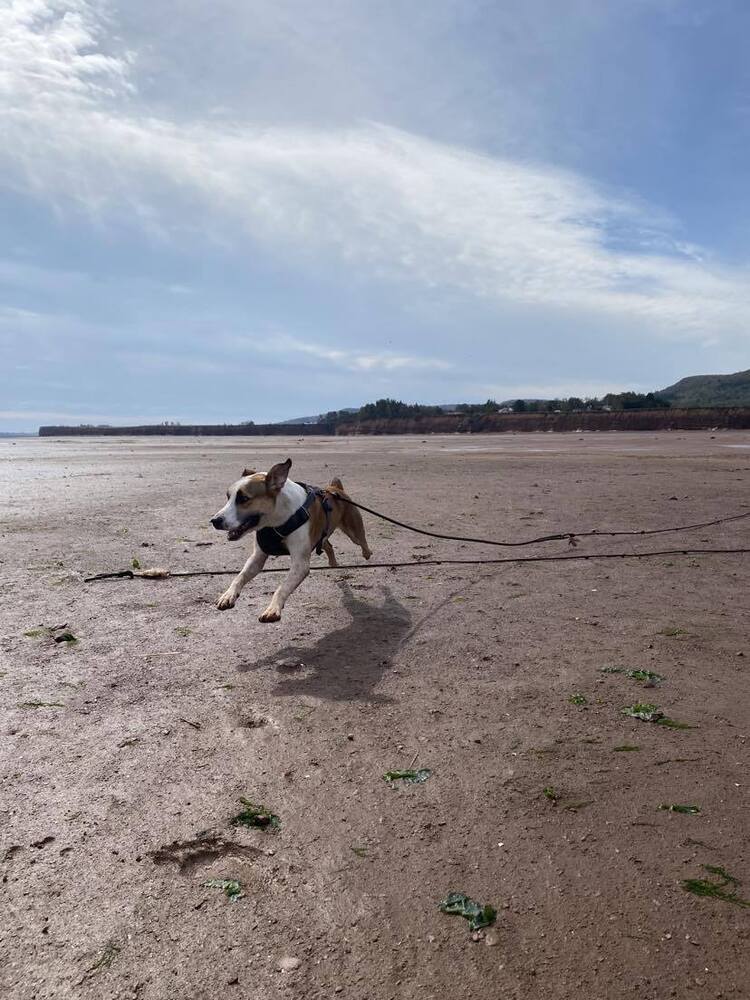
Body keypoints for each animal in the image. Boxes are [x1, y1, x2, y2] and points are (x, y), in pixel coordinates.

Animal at [209, 458, 374, 616]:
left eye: (243, 499)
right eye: (228, 497)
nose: (215, 520)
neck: (276, 521)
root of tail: (335, 488)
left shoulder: (300, 564)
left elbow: (282, 587)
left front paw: (273, 608)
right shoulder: (257, 557)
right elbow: (239, 577)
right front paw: (228, 595)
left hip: (353, 530)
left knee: (361, 542)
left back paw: (367, 553)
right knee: (327, 544)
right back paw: (333, 563)